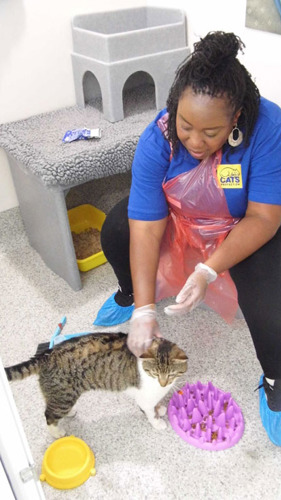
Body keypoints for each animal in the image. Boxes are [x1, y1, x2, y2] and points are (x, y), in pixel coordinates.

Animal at [4, 332, 187, 438]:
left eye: (171, 374)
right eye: (156, 373)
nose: (163, 383)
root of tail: (46, 355)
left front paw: (159, 408)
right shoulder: (145, 397)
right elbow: (149, 412)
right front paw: (157, 422)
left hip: (62, 395)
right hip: (64, 396)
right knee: (49, 415)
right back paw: (57, 433)